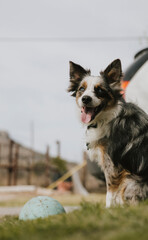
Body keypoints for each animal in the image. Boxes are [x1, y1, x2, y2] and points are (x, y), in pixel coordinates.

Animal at [68, 59, 148, 206]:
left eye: (100, 90)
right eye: (81, 89)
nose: (85, 98)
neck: (106, 117)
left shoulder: (113, 165)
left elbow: (110, 194)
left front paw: (109, 209)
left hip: (132, 181)